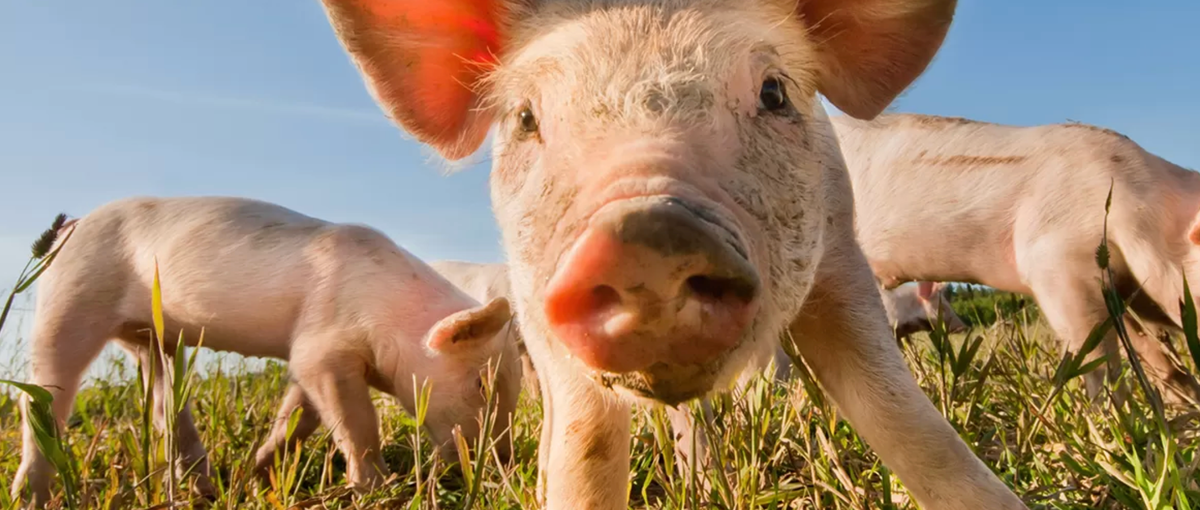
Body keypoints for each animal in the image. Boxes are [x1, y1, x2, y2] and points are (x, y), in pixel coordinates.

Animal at [12, 196, 522, 505]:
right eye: (482, 382)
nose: (505, 461)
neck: (392, 316)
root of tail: (72, 224)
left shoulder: (309, 357)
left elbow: (298, 417)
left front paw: (255, 476)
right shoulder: (322, 344)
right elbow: (356, 422)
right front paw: (377, 488)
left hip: (155, 340)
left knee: (163, 402)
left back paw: (207, 487)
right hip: (71, 297)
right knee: (42, 395)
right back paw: (29, 496)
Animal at [316, 0, 1029, 509]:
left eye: (774, 92)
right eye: (525, 118)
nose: (643, 236)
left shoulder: (840, 252)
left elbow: (900, 413)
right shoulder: (534, 299)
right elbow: (586, 444)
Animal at [833, 113, 1200, 405]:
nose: (963, 326)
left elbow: (1146, 346)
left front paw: (1186, 401)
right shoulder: (1053, 262)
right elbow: (1095, 350)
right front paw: (1115, 420)